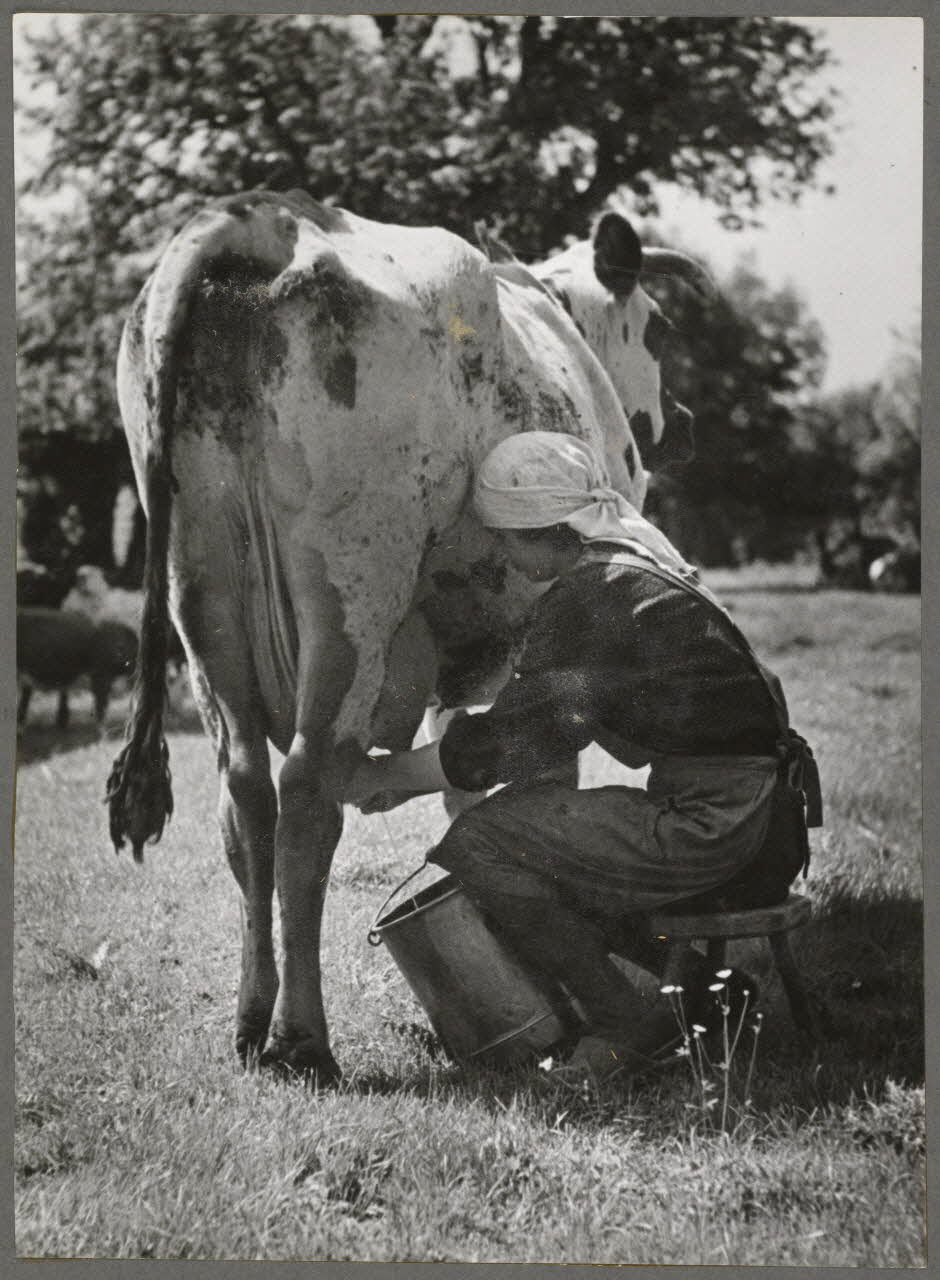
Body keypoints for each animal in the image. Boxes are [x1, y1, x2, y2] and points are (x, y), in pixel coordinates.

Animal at [106, 190, 713, 1082]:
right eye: (661, 327)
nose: (684, 420)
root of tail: (267, 215)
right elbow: (533, 775)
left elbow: (471, 783)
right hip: (354, 584)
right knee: (308, 791)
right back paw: (303, 1039)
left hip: (199, 592)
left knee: (245, 797)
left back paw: (251, 1023)